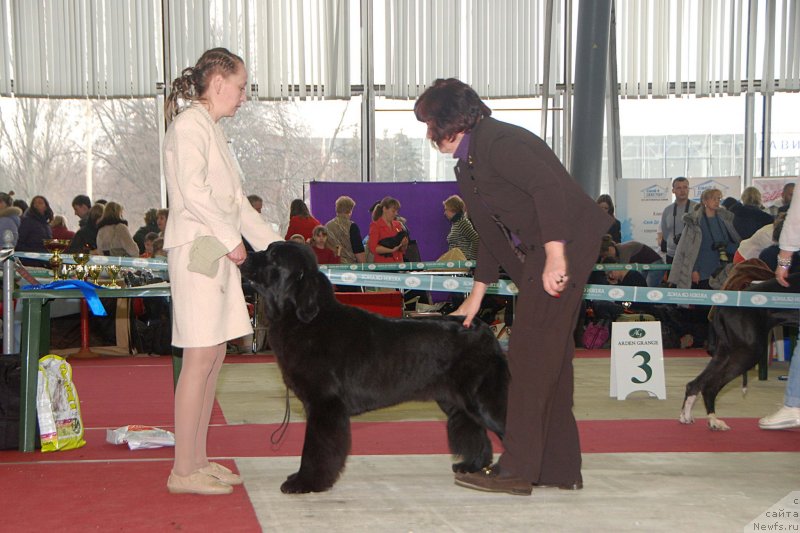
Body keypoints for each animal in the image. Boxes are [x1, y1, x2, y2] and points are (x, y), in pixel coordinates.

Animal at [241, 239, 510, 492]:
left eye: (273, 256)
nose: (245, 256)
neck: (304, 319)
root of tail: (483, 328)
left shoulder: (324, 403)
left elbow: (316, 448)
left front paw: (306, 482)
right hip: (455, 401)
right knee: (476, 431)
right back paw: (472, 466)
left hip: (484, 398)